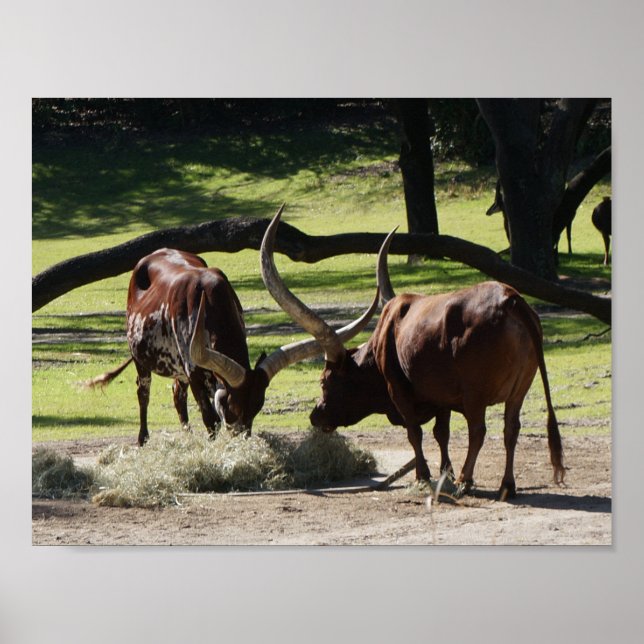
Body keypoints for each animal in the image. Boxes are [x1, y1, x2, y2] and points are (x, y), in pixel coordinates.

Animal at [87, 224, 378, 446]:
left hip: (175, 368)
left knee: (177, 396)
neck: (209, 303)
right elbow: (210, 419)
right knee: (143, 392)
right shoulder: (194, 371)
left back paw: (187, 437)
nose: (241, 438)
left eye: (257, 407)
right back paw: (143, 439)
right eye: (232, 407)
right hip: (141, 358)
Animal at [261, 210, 565, 499]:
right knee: (511, 429)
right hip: (519, 390)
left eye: (324, 381)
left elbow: (414, 432)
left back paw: (464, 480)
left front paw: (424, 476)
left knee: (478, 431)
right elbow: (441, 433)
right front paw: (444, 472)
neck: (386, 335)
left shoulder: (400, 391)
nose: (316, 415)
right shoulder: (443, 398)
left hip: (475, 394)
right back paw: (506, 485)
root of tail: (510, 299)